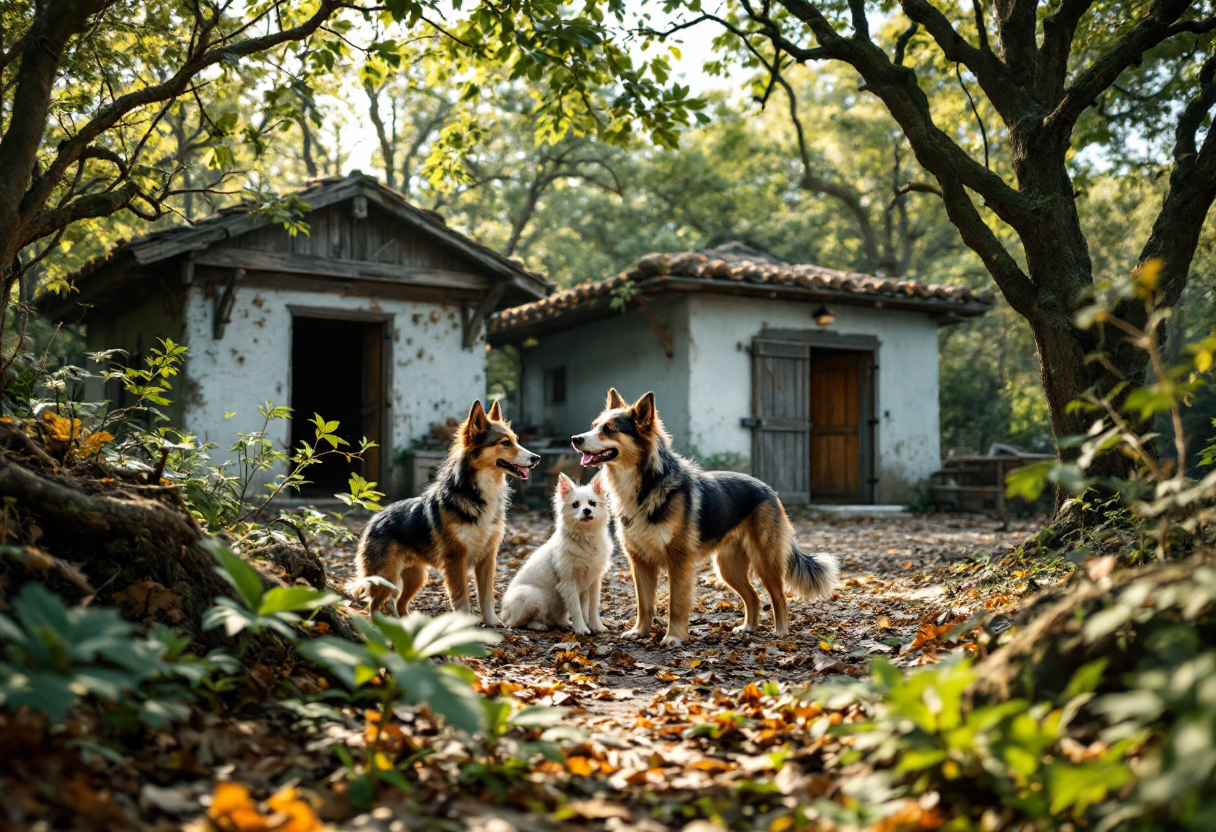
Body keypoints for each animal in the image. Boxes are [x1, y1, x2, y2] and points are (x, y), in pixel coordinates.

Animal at [355, 401, 539, 622]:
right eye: (505, 443)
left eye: (516, 440)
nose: (537, 458)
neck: (477, 493)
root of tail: (375, 518)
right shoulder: (455, 558)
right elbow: (461, 597)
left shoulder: (488, 557)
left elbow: (486, 596)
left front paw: (492, 622)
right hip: (385, 576)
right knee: (374, 604)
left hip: (416, 577)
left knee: (400, 603)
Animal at [500, 471, 612, 632]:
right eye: (575, 505)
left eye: (592, 503)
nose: (587, 510)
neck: (585, 538)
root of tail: (503, 613)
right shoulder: (569, 582)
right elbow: (577, 608)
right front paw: (581, 628)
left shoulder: (594, 581)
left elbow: (592, 607)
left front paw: (596, 626)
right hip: (535, 595)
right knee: (517, 622)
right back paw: (540, 626)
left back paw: (564, 623)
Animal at [569, 386, 836, 647]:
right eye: (594, 425)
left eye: (608, 429)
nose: (575, 439)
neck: (646, 483)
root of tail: (768, 489)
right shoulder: (640, 562)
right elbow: (644, 604)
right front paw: (640, 632)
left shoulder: (678, 561)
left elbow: (675, 603)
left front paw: (674, 637)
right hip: (728, 568)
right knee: (753, 597)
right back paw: (749, 628)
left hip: (764, 561)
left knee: (778, 596)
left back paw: (781, 632)